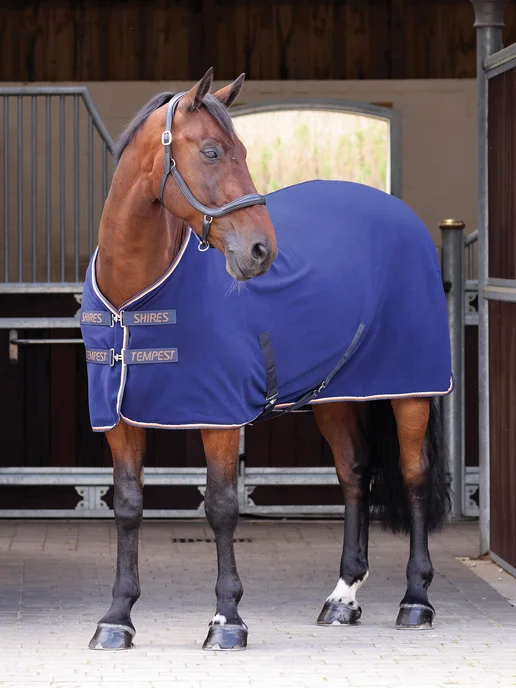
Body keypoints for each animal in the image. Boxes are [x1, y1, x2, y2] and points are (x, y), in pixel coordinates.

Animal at [81, 68, 452, 652]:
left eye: (243, 152)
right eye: (212, 152)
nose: (260, 250)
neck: (132, 299)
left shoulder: (219, 416)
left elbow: (221, 508)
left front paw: (227, 620)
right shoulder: (118, 418)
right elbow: (127, 508)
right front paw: (117, 619)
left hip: (410, 389)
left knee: (413, 476)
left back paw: (416, 601)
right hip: (335, 395)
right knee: (354, 472)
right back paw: (342, 598)